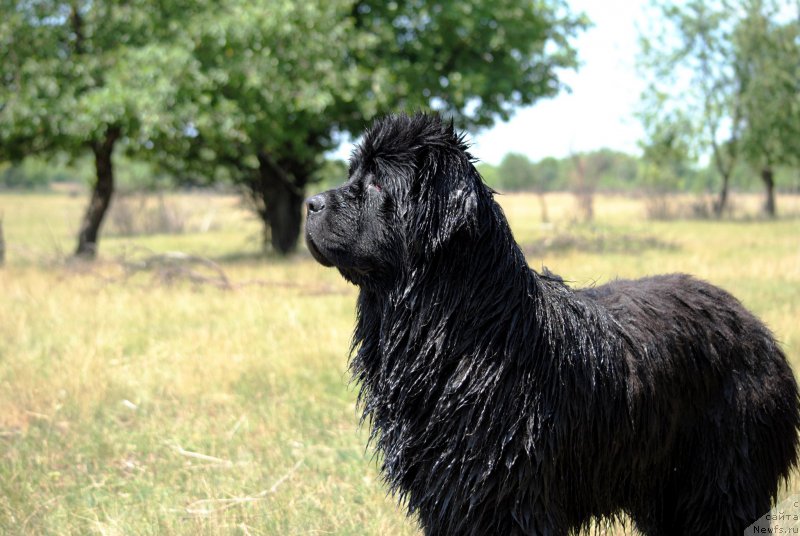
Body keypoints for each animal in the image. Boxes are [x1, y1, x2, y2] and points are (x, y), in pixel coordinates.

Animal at [304, 114, 796, 536]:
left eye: (377, 182)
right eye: (352, 174)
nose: (311, 202)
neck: (466, 332)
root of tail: (758, 328)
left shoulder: (511, 493)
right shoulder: (447, 491)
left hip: (723, 478)